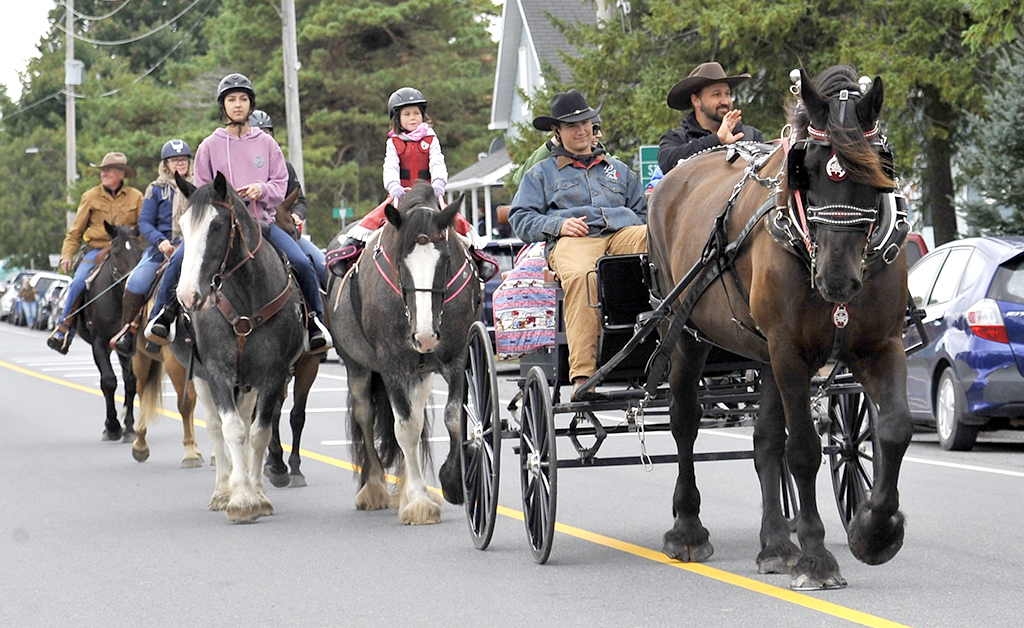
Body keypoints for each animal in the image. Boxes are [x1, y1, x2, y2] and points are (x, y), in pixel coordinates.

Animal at [77, 224, 144, 440]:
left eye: (140, 251)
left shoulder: (130, 344)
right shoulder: (99, 343)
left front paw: (129, 426)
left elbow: (131, 382)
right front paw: (113, 426)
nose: (131, 282)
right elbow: (108, 381)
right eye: (115, 252)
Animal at [172, 171, 305, 524]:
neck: (246, 298)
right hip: (202, 379)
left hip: (249, 384)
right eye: (183, 225)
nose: (188, 295)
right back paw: (223, 489)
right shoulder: (217, 372)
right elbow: (231, 430)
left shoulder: (273, 376)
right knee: (215, 427)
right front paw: (239, 500)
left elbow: (258, 433)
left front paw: (255, 495)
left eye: (217, 226)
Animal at [325, 181, 481, 524]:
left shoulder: (456, 358)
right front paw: (419, 501)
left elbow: (453, 418)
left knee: (417, 415)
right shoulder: (391, 365)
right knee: (366, 415)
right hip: (357, 367)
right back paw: (374, 487)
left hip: (420, 373)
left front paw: (452, 482)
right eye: (400, 261)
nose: (424, 336)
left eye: (446, 260)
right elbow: (405, 429)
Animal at [647, 66, 913, 590]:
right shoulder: (791, 352)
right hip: (685, 333)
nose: (837, 278)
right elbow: (804, 450)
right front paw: (817, 559)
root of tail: (674, 176)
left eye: (876, 172)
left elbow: (893, 429)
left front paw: (874, 531)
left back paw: (775, 544)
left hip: (762, 352)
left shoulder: (879, 345)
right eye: (805, 171)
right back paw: (687, 530)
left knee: (765, 439)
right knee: (685, 422)